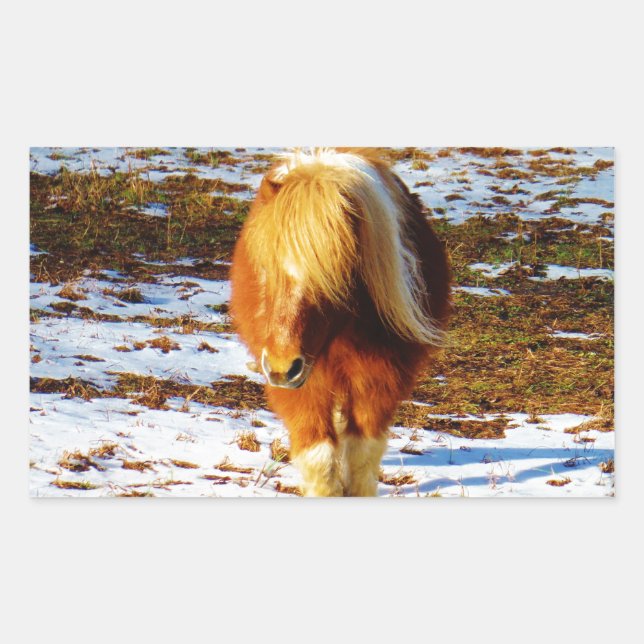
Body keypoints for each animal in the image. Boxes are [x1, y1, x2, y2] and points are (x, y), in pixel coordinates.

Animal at [230, 148, 451, 496]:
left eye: (333, 278)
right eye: (265, 269)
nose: (281, 368)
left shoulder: (379, 380)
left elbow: (362, 454)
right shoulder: (303, 387)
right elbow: (319, 455)